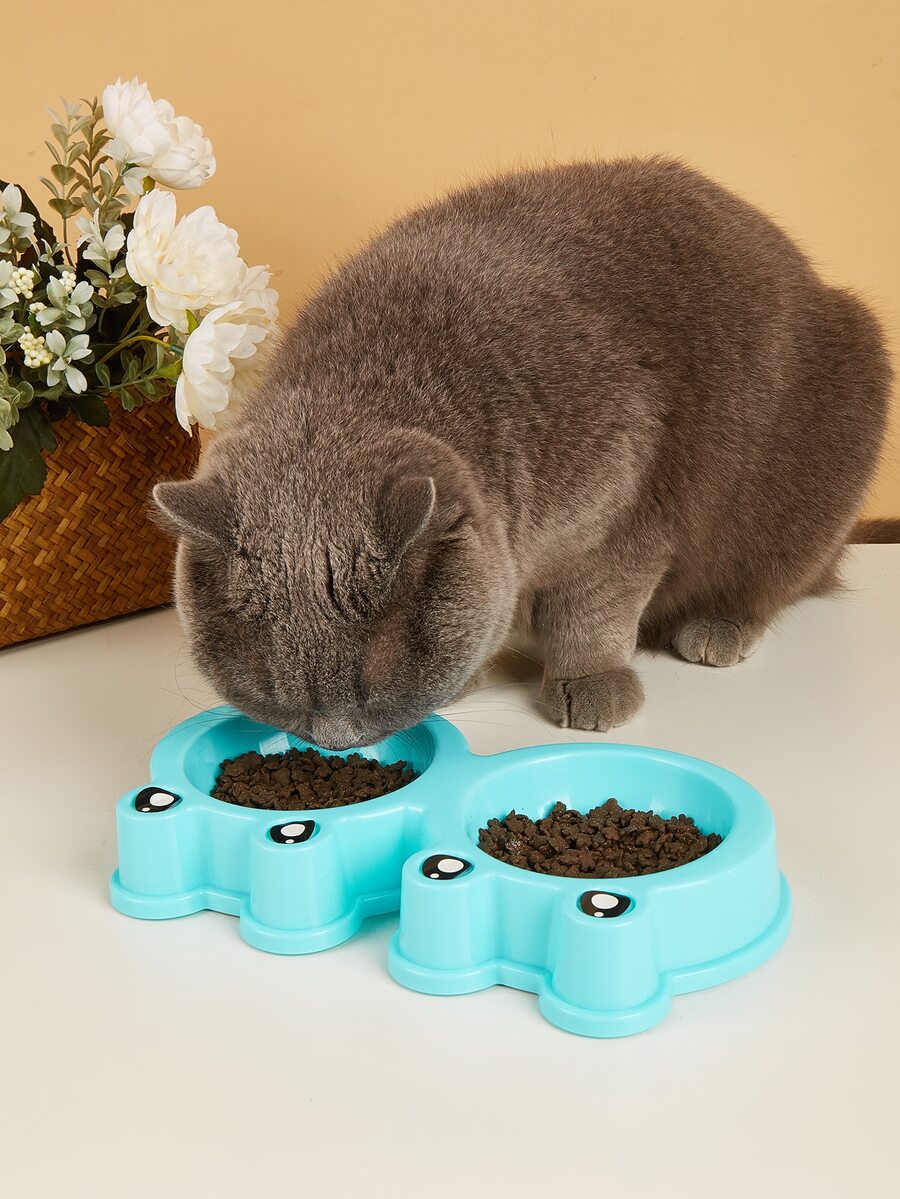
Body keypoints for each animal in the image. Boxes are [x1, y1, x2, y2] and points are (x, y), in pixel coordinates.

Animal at [154, 157, 892, 749]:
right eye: (276, 692)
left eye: (376, 680)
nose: (336, 740)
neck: (371, 374)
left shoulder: (621, 511)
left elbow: (592, 607)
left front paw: (591, 684)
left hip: (827, 430)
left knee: (773, 578)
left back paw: (716, 628)